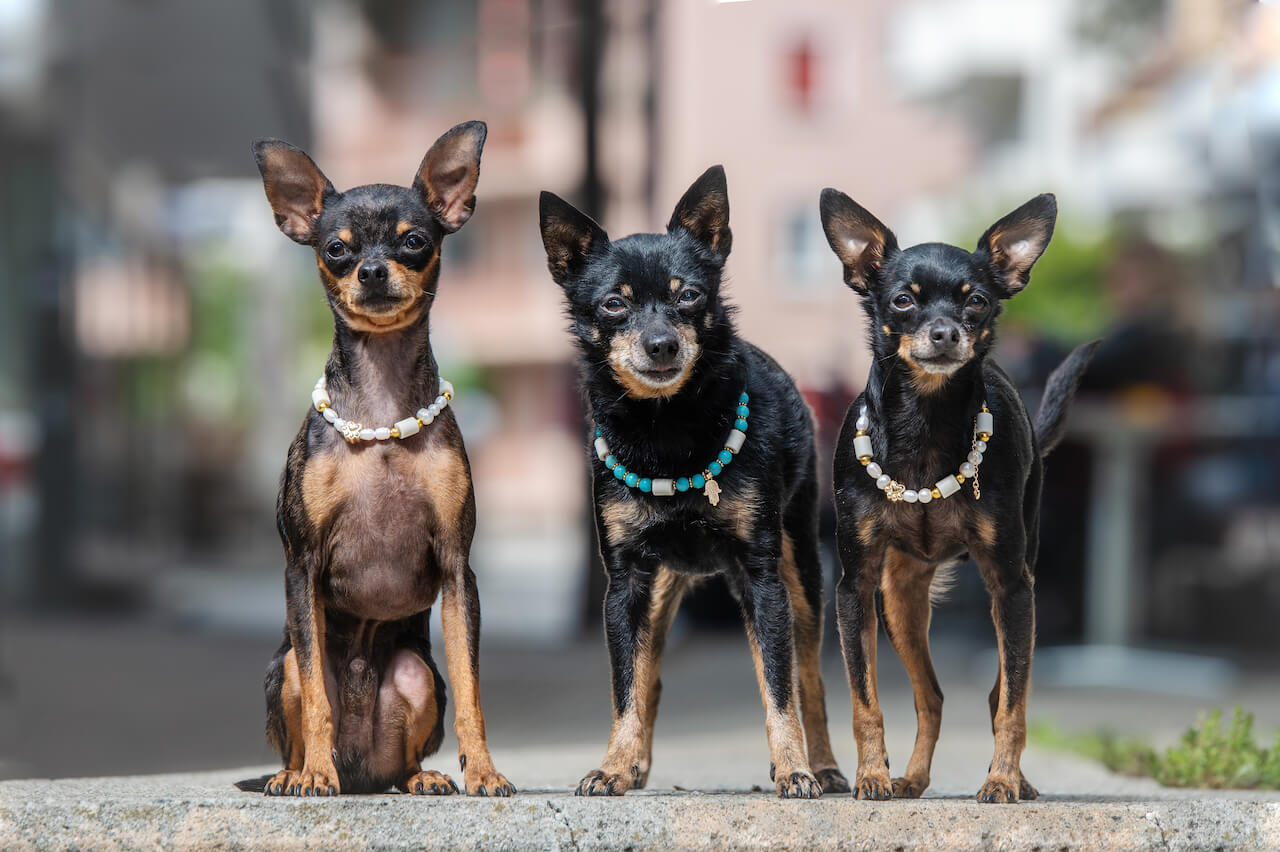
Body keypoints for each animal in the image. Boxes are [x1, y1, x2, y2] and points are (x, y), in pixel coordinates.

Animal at [232, 120, 512, 798]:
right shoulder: (301, 567)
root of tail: (362, 770)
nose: (373, 270)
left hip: (415, 671)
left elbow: (471, 688)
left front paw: (483, 771)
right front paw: (313, 775)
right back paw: (297, 772)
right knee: (304, 698)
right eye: (336, 249)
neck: (383, 404)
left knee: (407, 751)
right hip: (283, 667)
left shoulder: (458, 570)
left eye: (414, 242)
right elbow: (316, 697)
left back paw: (420, 777)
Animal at [540, 166, 849, 798]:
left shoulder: (764, 583)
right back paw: (634, 764)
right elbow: (626, 687)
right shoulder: (625, 586)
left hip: (802, 573)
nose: (661, 343)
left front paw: (794, 769)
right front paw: (613, 766)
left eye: (689, 296)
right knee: (649, 676)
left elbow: (779, 689)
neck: (667, 429)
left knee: (809, 678)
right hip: (659, 590)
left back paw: (825, 765)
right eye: (614, 305)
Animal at [819, 188, 1100, 803]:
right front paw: (871, 776)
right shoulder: (855, 589)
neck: (925, 422)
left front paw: (1001, 780)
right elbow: (864, 701)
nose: (945, 331)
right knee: (932, 697)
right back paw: (912, 778)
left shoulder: (1013, 587)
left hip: (1016, 588)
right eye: (902, 300)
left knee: (999, 695)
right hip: (900, 602)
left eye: (976, 301)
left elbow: (1013, 706)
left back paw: (1016, 778)